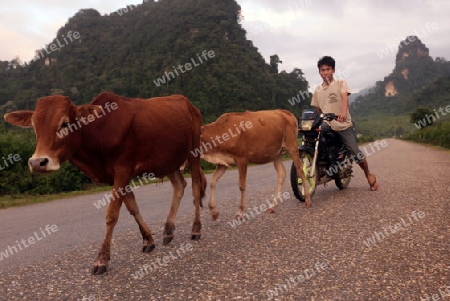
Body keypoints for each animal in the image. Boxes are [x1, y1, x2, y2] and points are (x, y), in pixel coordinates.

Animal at [3, 92, 207, 274]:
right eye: (34, 126)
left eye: (65, 123)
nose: (38, 162)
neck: (99, 132)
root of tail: (188, 103)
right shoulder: (116, 177)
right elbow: (132, 207)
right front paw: (148, 239)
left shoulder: (122, 171)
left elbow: (112, 215)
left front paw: (101, 259)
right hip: (170, 160)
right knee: (179, 186)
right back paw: (168, 230)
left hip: (194, 151)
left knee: (196, 188)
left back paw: (196, 229)